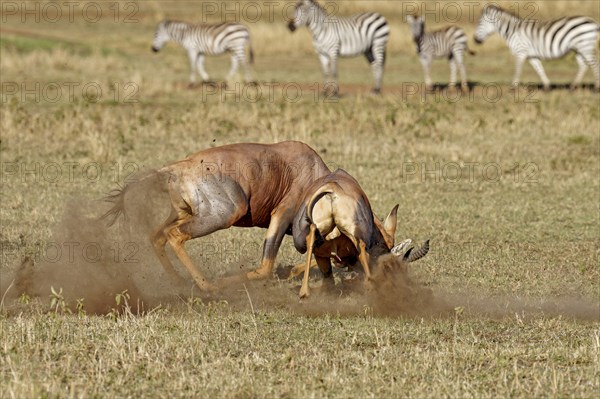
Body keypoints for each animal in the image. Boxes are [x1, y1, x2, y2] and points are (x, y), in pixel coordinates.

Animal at [101, 142, 330, 292]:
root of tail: (177, 169)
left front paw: (291, 272)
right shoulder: (282, 213)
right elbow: (265, 268)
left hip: (185, 213)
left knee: (158, 236)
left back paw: (180, 283)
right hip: (224, 214)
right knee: (174, 235)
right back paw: (208, 286)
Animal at [292, 168, 432, 296]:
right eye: (394, 265)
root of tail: (333, 188)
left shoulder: (325, 256)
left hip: (315, 233)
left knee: (310, 238)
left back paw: (304, 292)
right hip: (355, 233)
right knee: (362, 247)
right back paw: (371, 287)